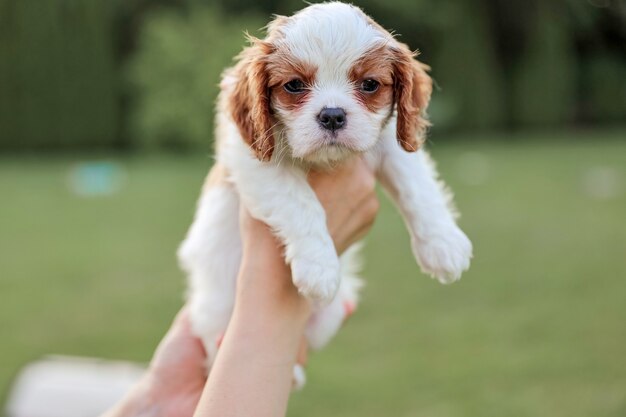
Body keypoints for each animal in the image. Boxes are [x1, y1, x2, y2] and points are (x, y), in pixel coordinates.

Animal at [176, 1, 468, 388]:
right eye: (294, 85)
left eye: (369, 84)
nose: (332, 115)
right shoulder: (249, 159)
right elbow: (301, 204)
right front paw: (320, 267)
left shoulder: (391, 143)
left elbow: (417, 186)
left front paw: (444, 245)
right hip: (216, 308)